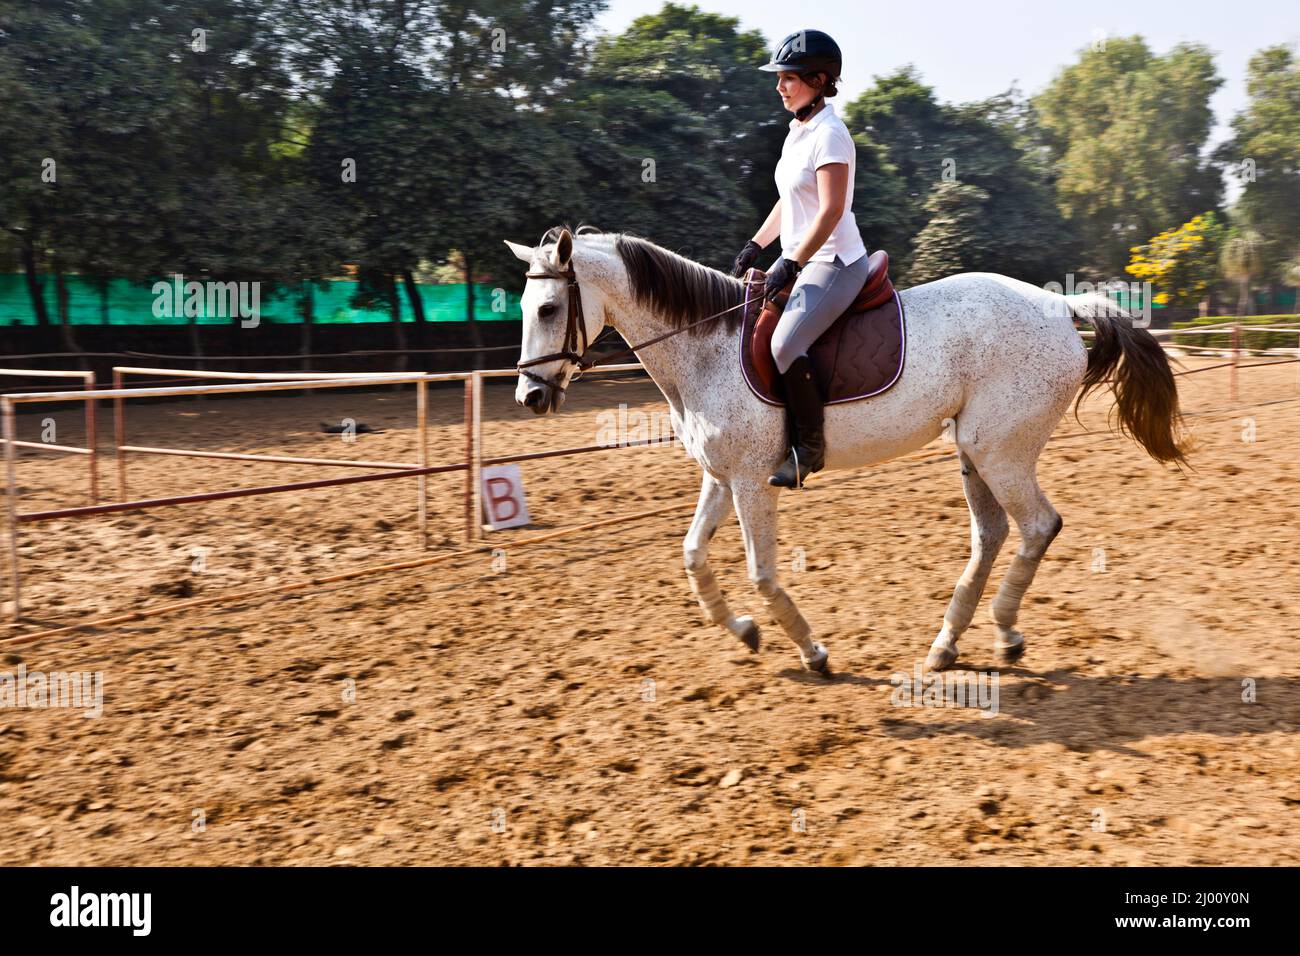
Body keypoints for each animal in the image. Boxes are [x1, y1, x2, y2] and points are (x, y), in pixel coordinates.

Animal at [504, 225, 1187, 674]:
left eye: (548, 307)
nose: (530, 397)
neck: (707, 345)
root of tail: (1058, 303)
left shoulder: (750, 481)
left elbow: (762, 572)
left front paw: (813, 651)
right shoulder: (722, 478)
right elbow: (693, 556)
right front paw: (744, 632)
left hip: (1001, 451)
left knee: (1039, 525)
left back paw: (998, 631)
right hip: (975, 451)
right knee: (992, 534)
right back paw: (951, 642)